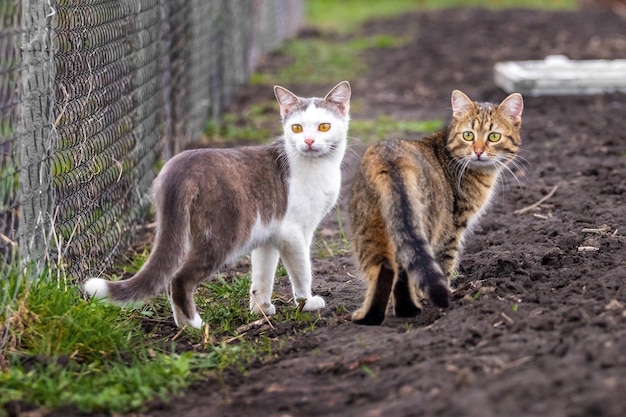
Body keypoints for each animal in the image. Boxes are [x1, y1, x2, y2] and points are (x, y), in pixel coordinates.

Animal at [84, 80, 352, 328]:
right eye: (296, 128)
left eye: (324, 126)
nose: (308, 141)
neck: (318, 167)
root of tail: (180, 169)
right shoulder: (294, 234)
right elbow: (302, 271)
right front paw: (307, 303)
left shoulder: (269, 234)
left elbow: (263, 275)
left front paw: (261, 309)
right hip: (221, 236)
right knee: (179, 278)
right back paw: (194, 324)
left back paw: (184, 326)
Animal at [348, 90, 520, 324]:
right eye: (468, 135)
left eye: (493, 137)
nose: (478, 151)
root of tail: (390, 159)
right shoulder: (453, 230)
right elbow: (446, 265)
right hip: (423, 225)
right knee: (406, 271)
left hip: (370, 228)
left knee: (385, 269)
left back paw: (375, 316)